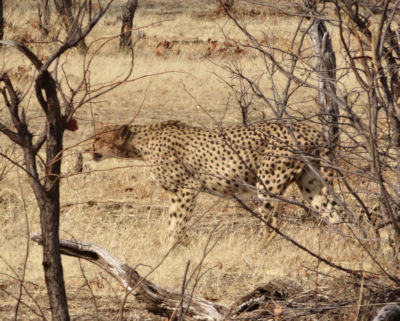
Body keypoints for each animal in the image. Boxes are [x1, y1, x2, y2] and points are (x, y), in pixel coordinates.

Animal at [87, 119, 338, 245]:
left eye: (98, 139)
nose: (88, 150)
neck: (140, 142)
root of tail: (312, 130)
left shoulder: (185, 189)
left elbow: (176, 224)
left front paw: (170, 249)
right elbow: (174, 223)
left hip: (267, 183)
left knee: (273, 222)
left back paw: (257, 250)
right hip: (310, 184)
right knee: (334, 213)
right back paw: (342, 246)